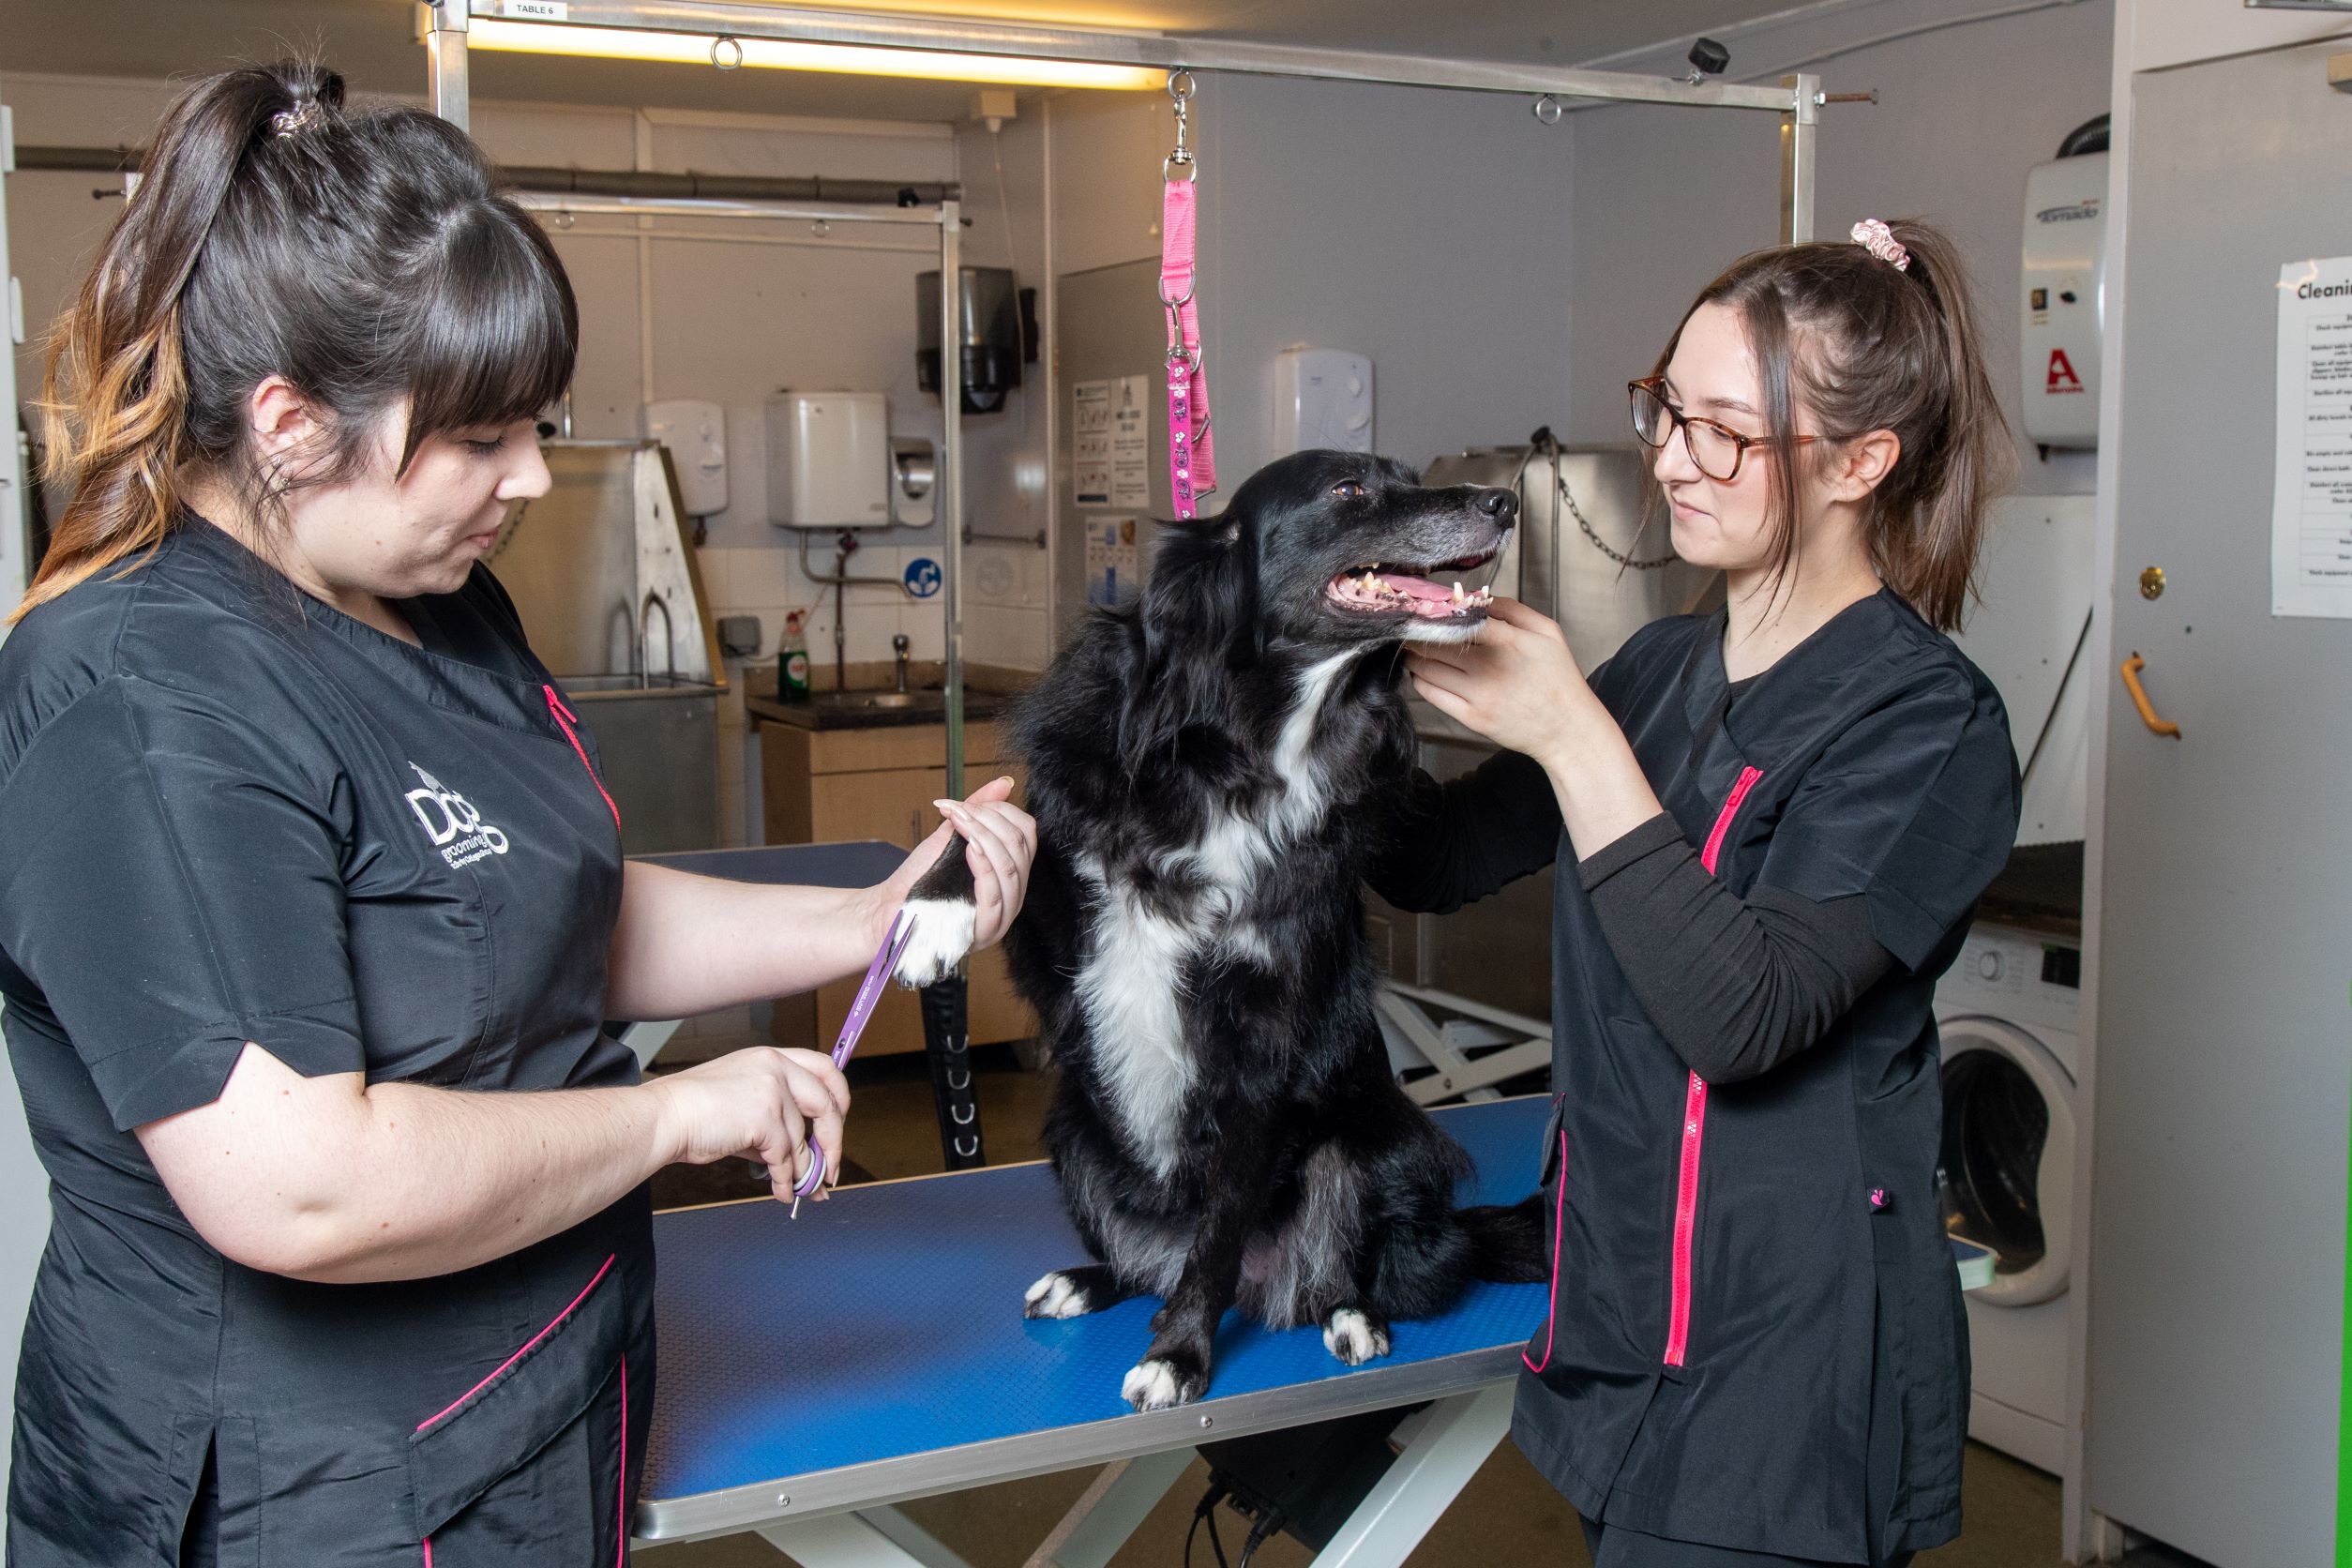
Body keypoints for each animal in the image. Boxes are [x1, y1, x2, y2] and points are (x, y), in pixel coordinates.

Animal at [898, 444, 1543, 1410]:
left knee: (1334, 1262)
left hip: (1371, 1149)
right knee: (1145, 1264)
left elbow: (1222, 1227)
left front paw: (1179, 1355)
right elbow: (999, 825)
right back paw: (1087, 1280)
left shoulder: (1262, 1044)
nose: (1503, 501)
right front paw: (930, 911)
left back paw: (1349, 1314)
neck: (1251, 749)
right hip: (1074, 1132)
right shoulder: (1064, 904)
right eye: (1349, 489)